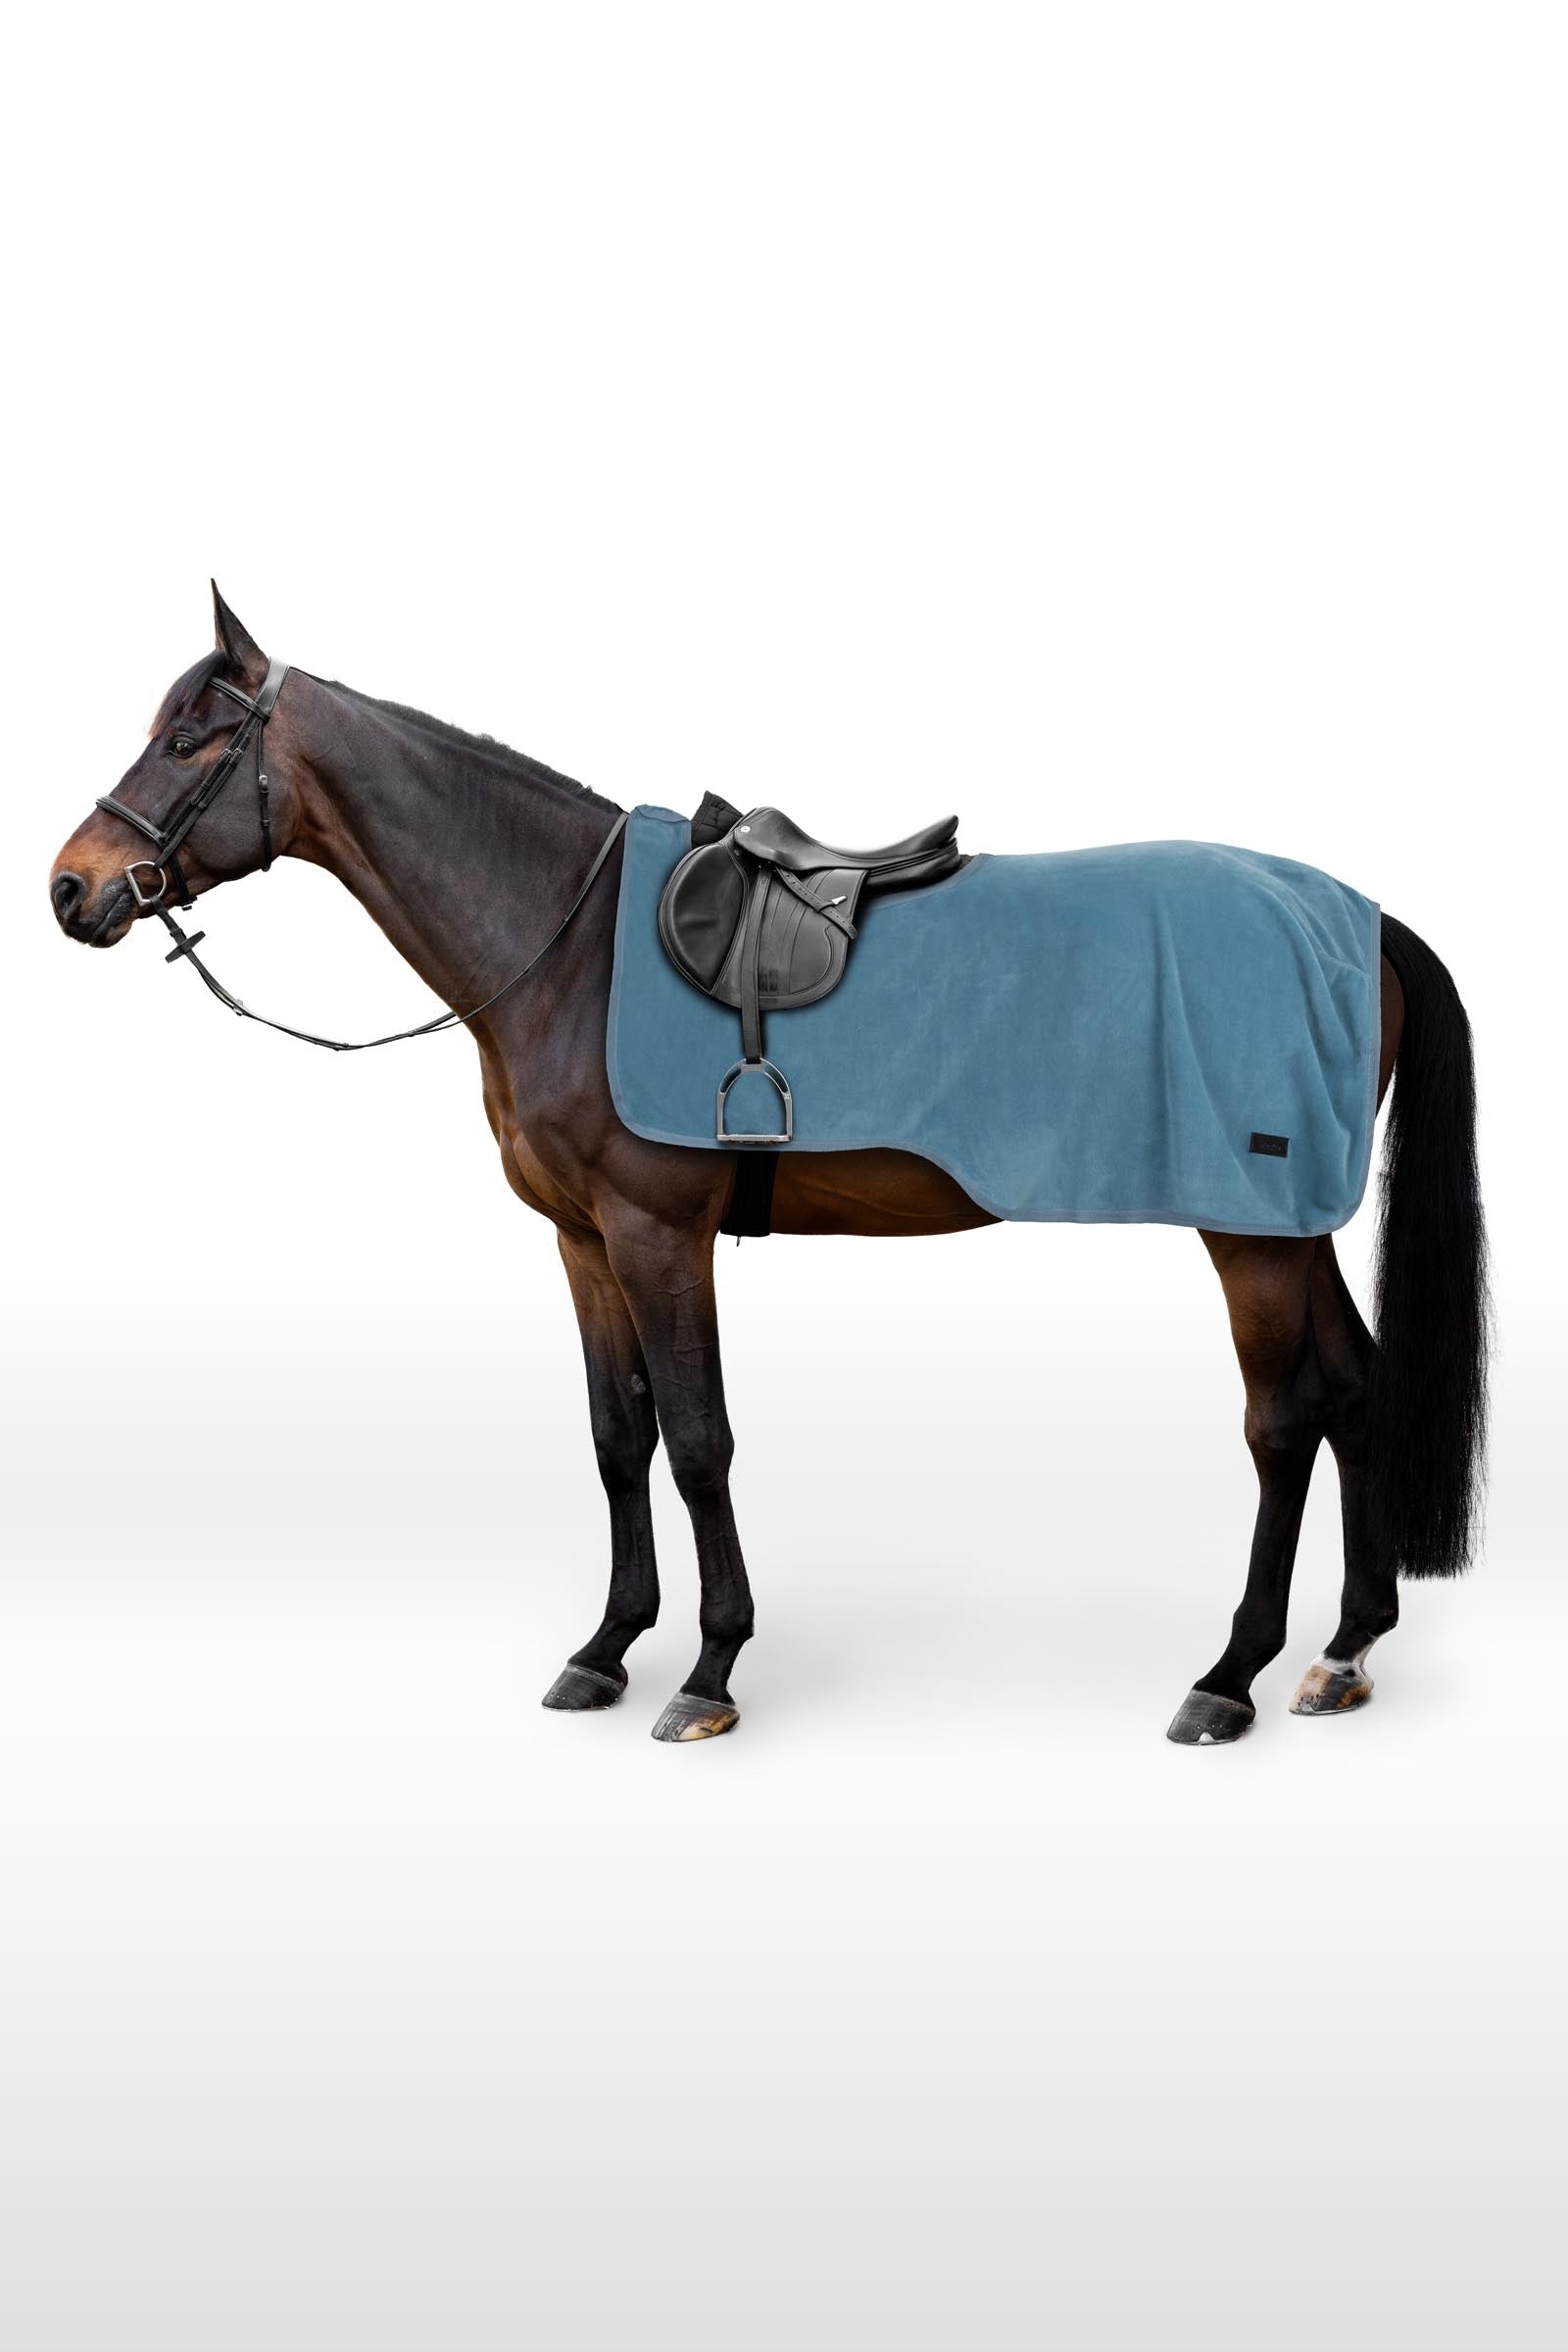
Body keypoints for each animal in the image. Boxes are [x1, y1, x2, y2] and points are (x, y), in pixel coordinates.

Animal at [49, 590, 1488, 1744]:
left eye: (192, 739)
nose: (72, 889)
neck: (566, 945)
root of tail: (1352, 917)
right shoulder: (583, 1242)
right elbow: (617, 1437)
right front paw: (605, 1649)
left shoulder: (656, 1232)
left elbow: (698, 1442)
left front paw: (709, 1671)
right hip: (1291, 1225)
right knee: (1354, 1390)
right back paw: (1344, 1653)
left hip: (1248, 1231)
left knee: (1283, 1420)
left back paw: (1231, 1676)